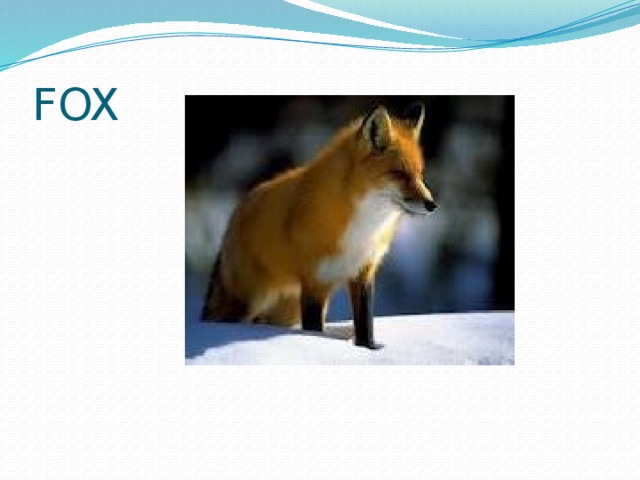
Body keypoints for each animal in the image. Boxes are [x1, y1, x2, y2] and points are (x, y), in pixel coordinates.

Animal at [200, 102, 437, 349]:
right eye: (400, 174)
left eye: (419, 175)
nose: (432, 204)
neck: (362, 226)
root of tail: (234, 215)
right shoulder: (315, 283)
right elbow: (314, 331)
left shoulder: (363, 272)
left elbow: (365, 324)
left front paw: (369, 348)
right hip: (250, 300)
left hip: (287, 310)